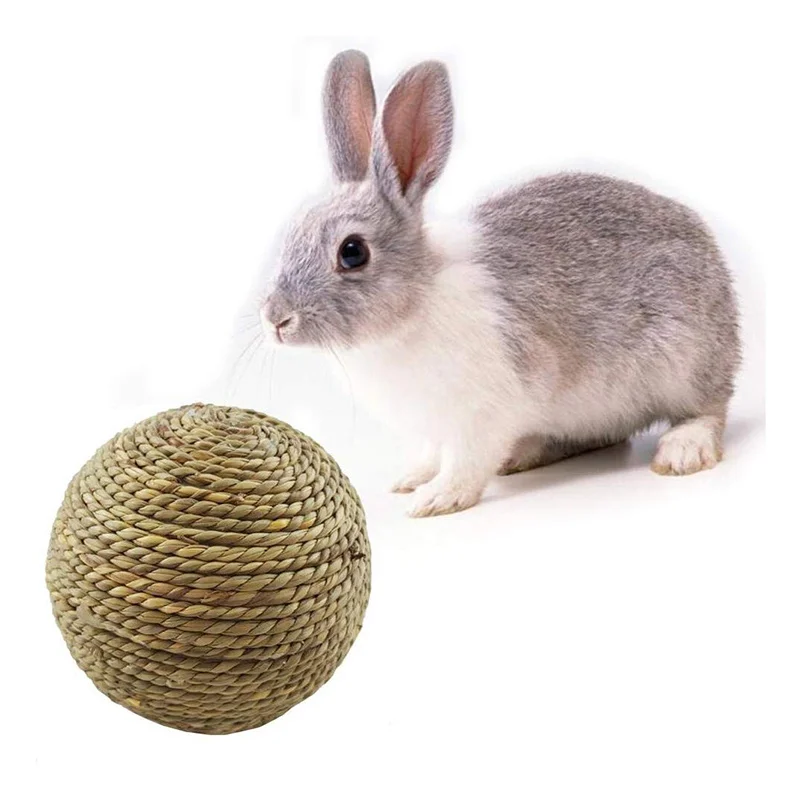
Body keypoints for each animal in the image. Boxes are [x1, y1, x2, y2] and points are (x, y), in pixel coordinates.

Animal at [260, 50, 741, 517]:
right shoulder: (436, 427)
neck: (415, 303)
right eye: (293, 233)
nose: (276, 319)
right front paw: (411, 479)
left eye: (352, 252)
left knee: (709, 410)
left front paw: (436, 499)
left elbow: (466, 463)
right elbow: (432, 453)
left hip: (683, 362)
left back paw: (682, 451)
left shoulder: (483, 413)